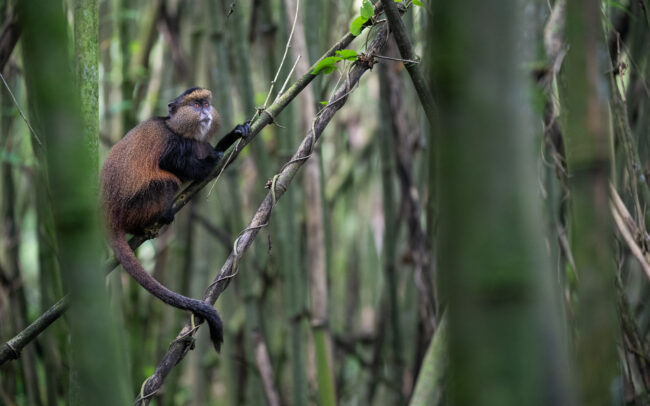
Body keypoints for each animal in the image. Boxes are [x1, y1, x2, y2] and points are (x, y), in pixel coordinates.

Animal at [100, 87, 250, 352]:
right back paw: (159, 216)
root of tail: (110, 215)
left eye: (206, 104)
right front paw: (214, 160)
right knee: (167, 181)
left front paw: (236, 133)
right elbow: (174, 164)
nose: (206, 113)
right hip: (135, 206)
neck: (179, 130)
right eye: (196, 105)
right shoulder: (173, 145)